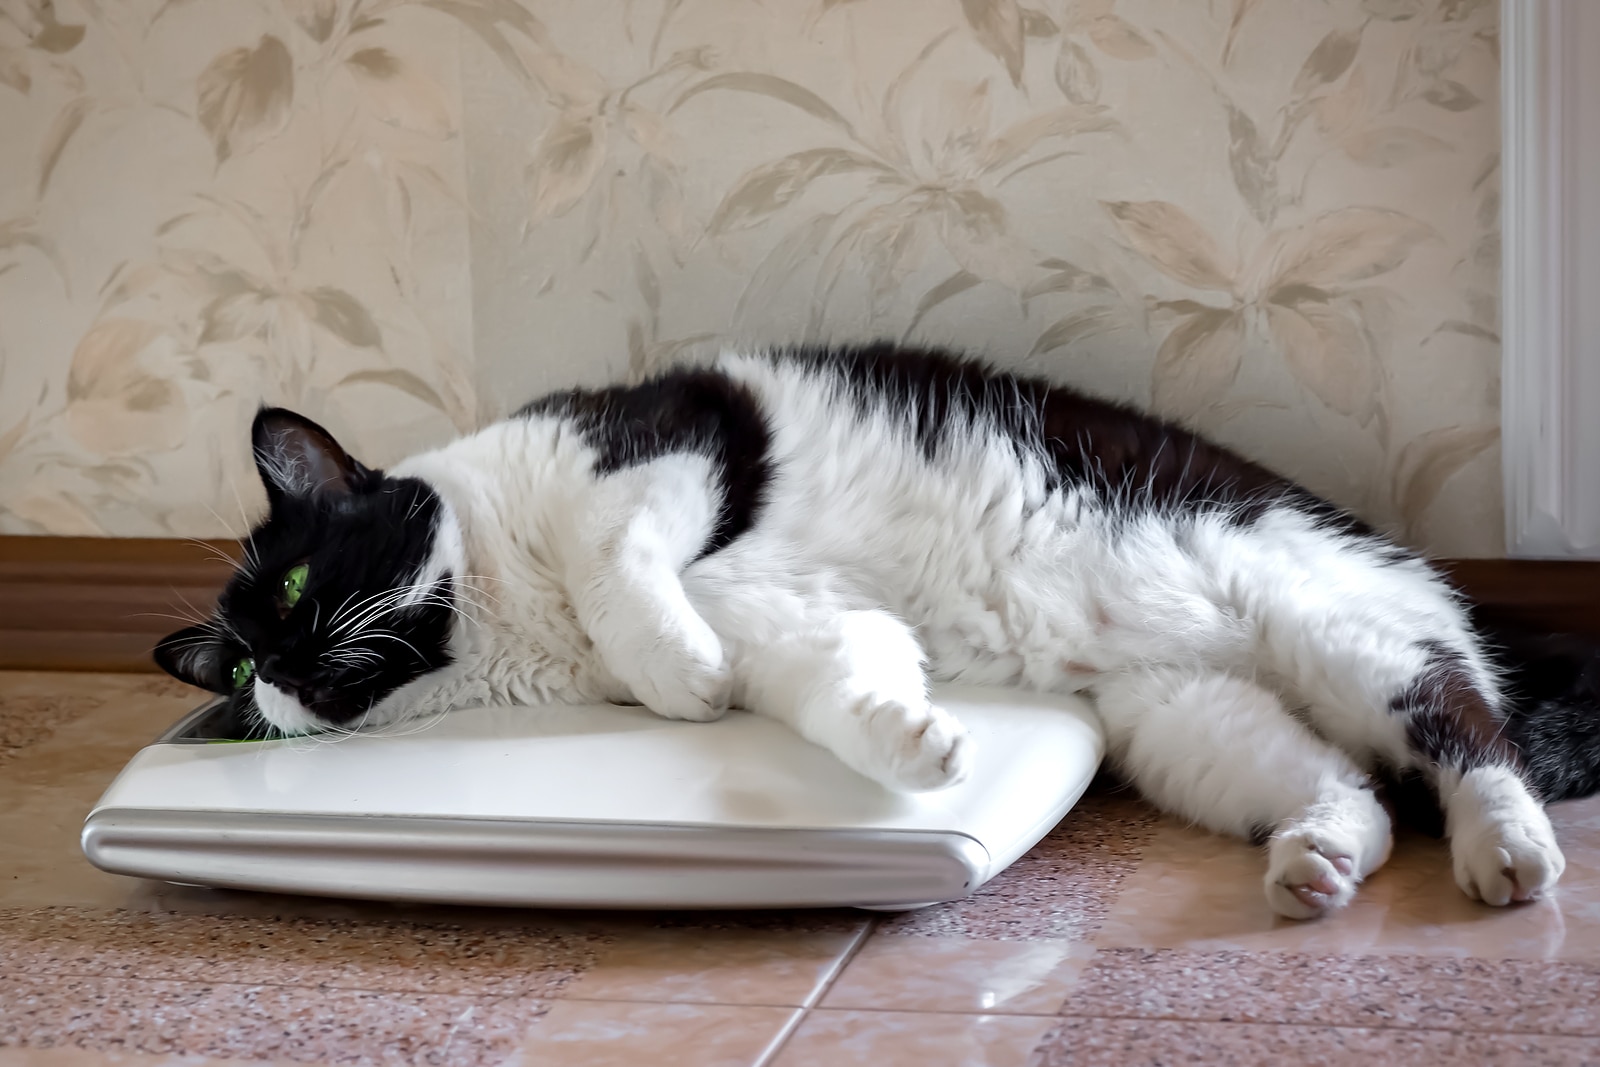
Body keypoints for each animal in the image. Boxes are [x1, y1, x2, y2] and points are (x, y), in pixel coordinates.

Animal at [156, 342, 1600, 921]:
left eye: (293, 588)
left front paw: (676, 675)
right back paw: (1316, 864)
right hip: (1188, 722)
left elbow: (625, 564)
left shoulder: (670, 440)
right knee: (1347, 787)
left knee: (1466, 726)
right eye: (237, 666)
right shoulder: (787, 610)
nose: (279, 672)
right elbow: (834, 678)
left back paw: (1507, 852)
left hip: (1329, 627)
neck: (513, 616)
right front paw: (916, 743)